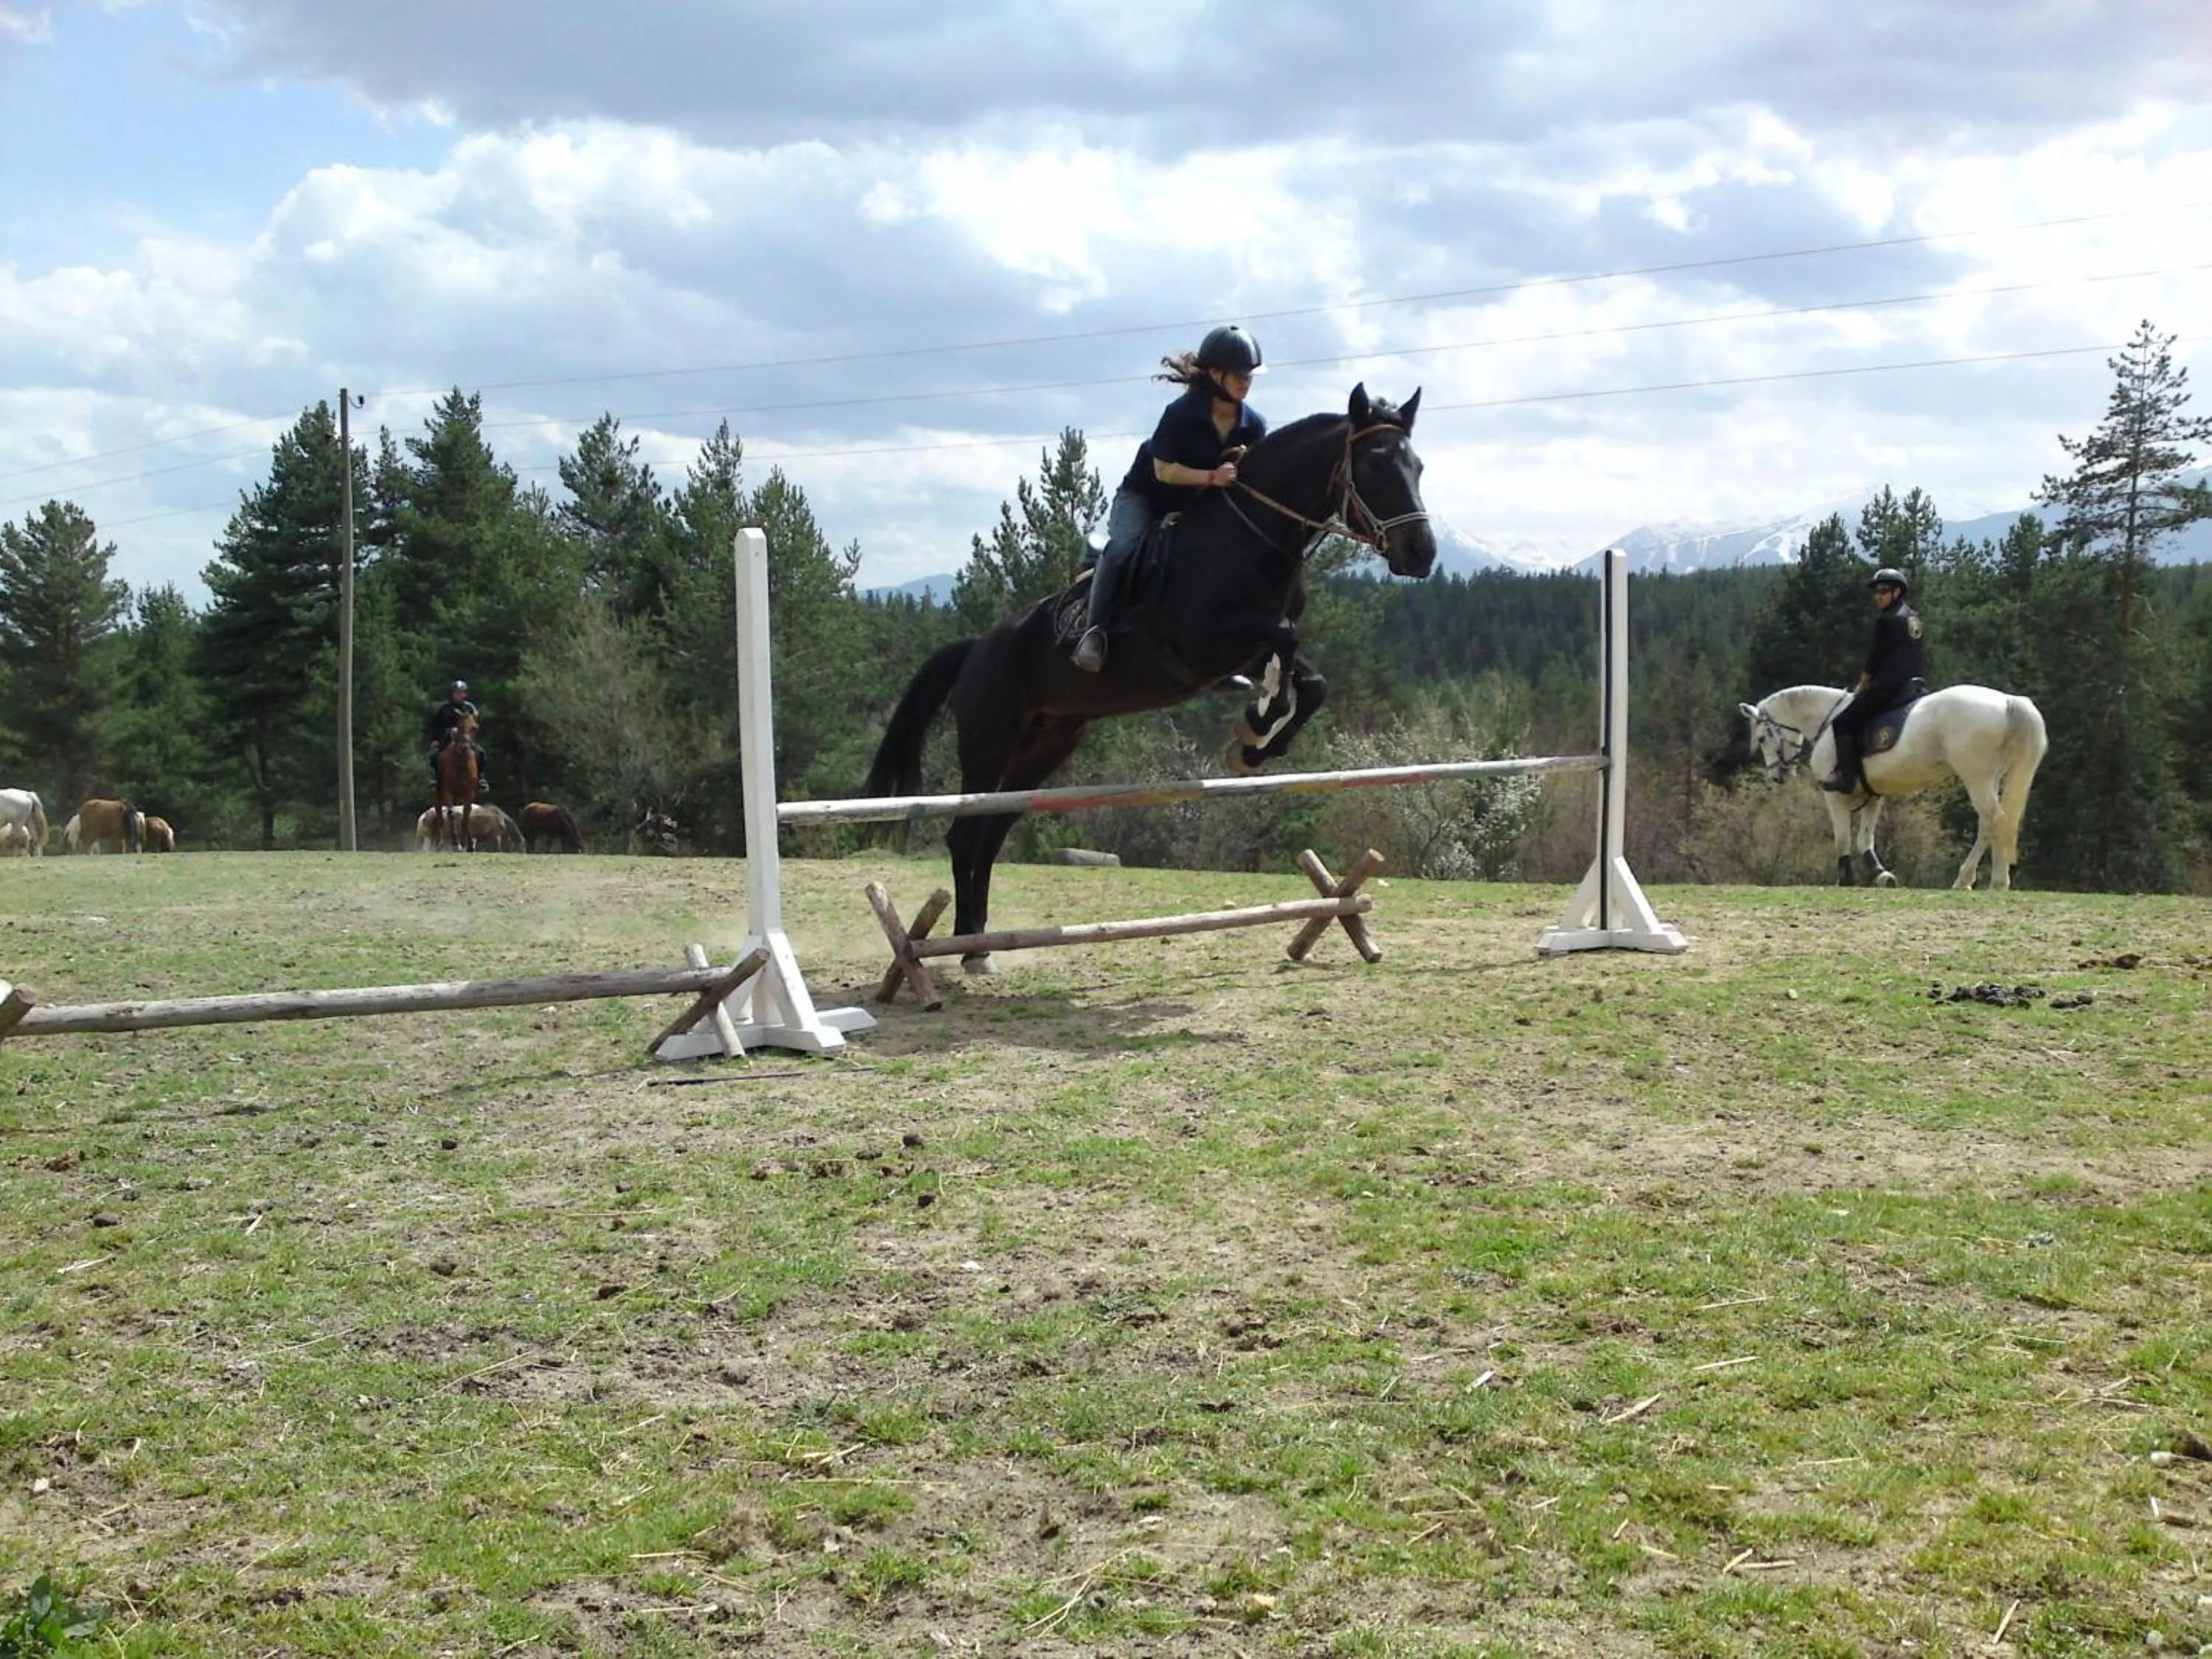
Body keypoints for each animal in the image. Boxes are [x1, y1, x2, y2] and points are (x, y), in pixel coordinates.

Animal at [433, 712, 482, 852]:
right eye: (459, 726)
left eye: (474, 728)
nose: (464, 747)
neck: (461, 763)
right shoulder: (448, 791)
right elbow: (451, 814)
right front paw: (456, 843)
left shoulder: (469, 793)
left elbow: (466, 815)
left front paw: (468, 843)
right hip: (438, 796)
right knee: (440, 815)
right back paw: (440, 843)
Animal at [863, 384, 1438, 970]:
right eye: (1375, 463)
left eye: (1417, 465)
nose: (1422, 553)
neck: (1248, 539)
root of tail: (977, 648)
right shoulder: (1201, 641)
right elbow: (1286, 639)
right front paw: (1259, 723)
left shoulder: (1242, 652)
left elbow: (1309, 678)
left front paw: (1257, 745)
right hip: (989, 740)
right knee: (966, 833)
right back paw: (968, 946)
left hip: (1049, 742)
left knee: (992, 832)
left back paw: (978, 938)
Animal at [1739, 684, 2048, 890]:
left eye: (1762, 737)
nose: (1777, 776)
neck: (1828, 721)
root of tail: (2007, 701)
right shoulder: (1873, 796)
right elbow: (1865, 839)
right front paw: (1881, 875)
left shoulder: (1835, 796)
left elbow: (1843, 838)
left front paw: (1846, 878)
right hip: (1990, 778)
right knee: (1995, 822)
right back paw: (1984, 879)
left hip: (1976, 777)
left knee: (1992, 820)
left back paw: (1984, 880)